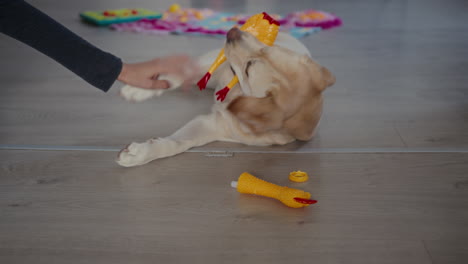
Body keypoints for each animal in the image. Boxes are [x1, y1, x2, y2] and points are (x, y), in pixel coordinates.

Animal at [118, 27, 336, 167]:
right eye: (267, 48)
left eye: (248, 69)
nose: (233, 31)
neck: (234, 94)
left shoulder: (214, 125)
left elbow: (180, 142)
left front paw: (141, 152)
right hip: (213, 63)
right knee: (184, 72)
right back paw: (139, 89)